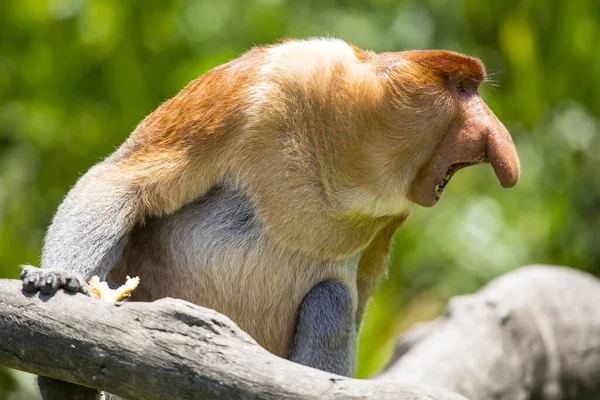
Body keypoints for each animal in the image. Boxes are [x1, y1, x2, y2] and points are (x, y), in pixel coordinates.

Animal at [21, 38, 516, 400]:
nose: (502, 148)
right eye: (462, 88)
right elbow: (118, 183)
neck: (352, 166)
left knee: (333, 298)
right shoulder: (253, 87)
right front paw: (57, 278)